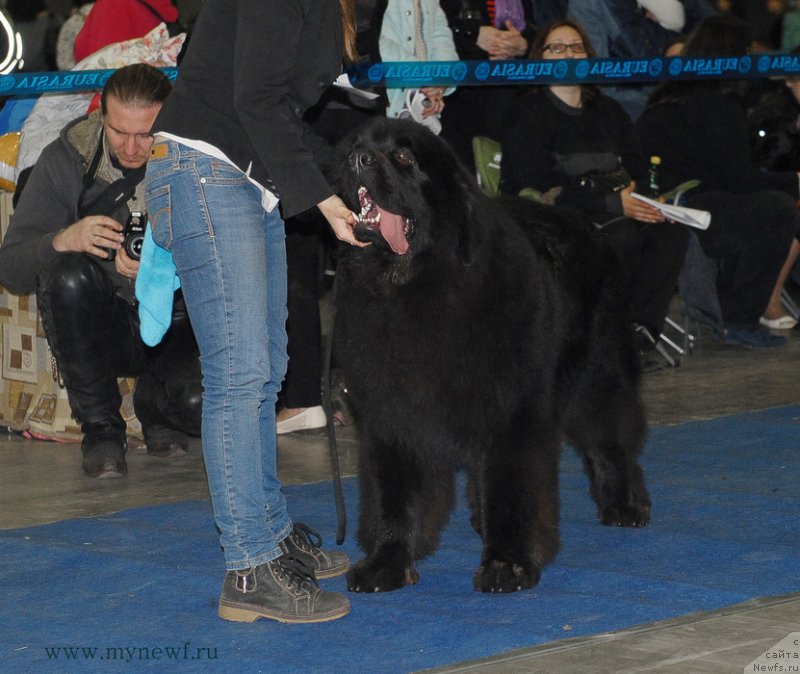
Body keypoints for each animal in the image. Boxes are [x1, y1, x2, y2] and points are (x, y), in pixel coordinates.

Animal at [332, 118, 648, 592]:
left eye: (404, 158)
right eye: (356, 145)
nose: (357, 159)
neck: (415, 287)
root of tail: (584, 222)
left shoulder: (512, 412)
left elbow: (511, 486)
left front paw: (508, 563)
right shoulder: (392, 415)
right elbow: (396, 495)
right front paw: (387, 561)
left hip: (599, 372)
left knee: (610, 439)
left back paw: (624, 505)